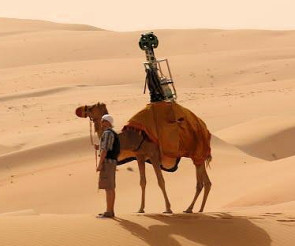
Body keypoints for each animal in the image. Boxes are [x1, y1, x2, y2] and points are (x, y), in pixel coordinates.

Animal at [75, 102, 212, 213]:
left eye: (91, 108)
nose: (79, 109)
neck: (133, 136)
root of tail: (205, 128)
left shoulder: (154, 155)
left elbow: (161, 181)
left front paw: (168, 208)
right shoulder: (140, 156)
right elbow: (142, 181)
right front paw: (140, 208)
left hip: (197, 152)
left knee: (200, 183)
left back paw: (189, 209)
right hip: (198, 156)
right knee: (207, 182)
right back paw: (199, 209)